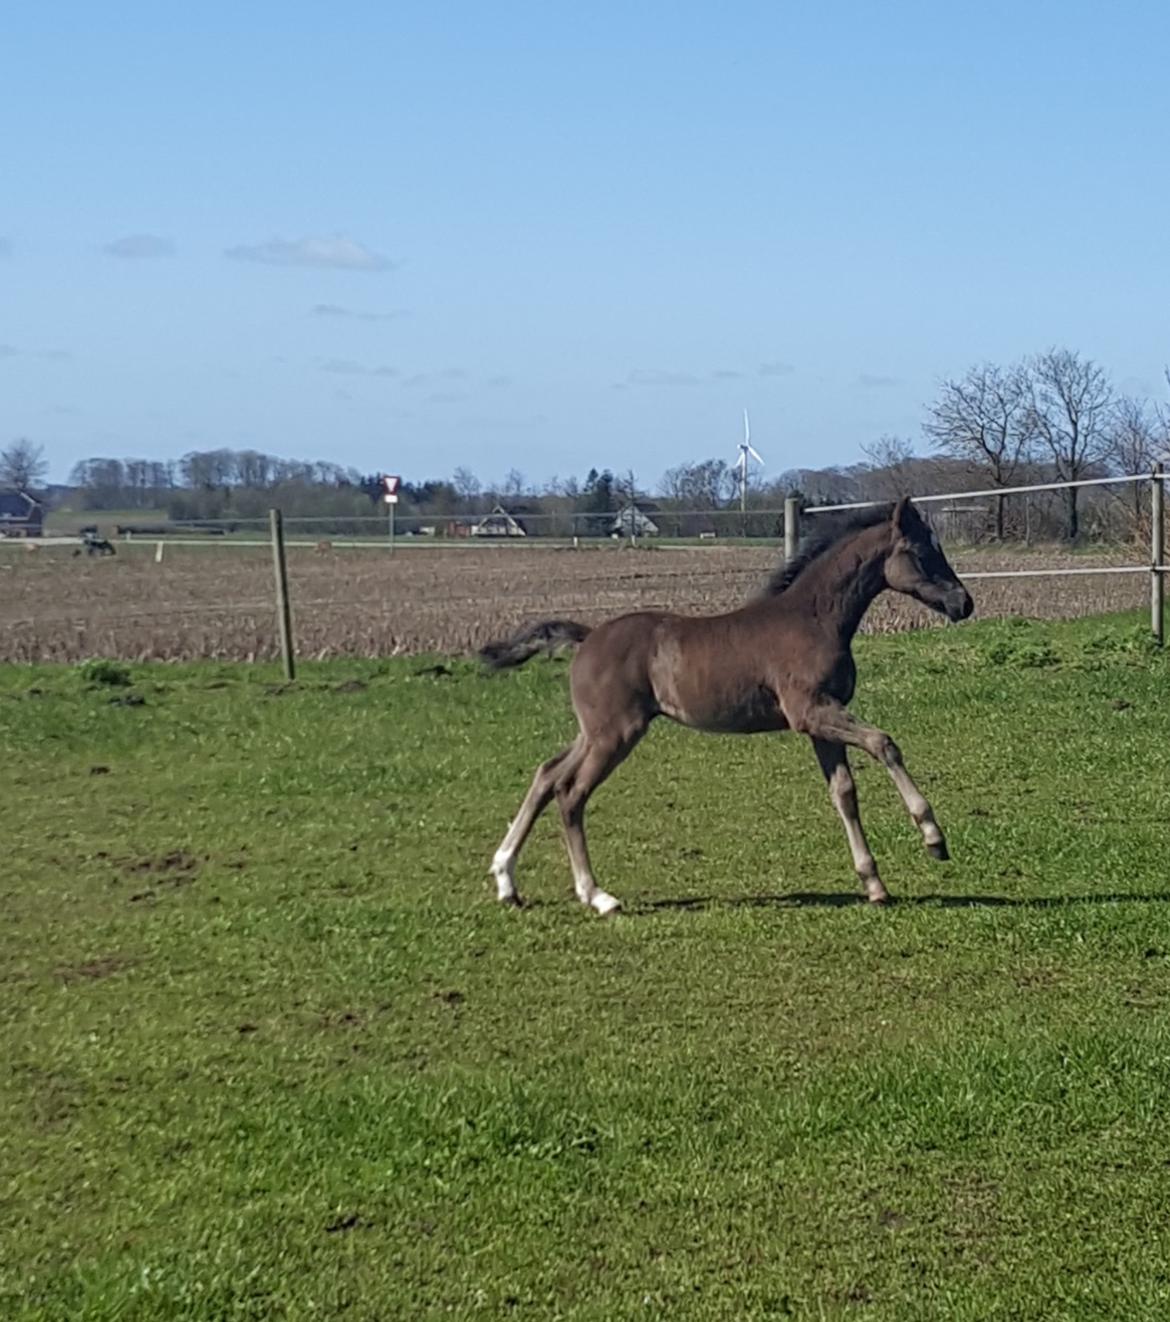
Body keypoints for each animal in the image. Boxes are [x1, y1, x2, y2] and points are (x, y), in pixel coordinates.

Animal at [478, 499, 973, 914]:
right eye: (922, 553)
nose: (963, 603)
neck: (815, 618)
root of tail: (587, 637)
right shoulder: (812, 712)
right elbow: (884, 743)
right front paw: (934, 838)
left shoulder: (818, 723)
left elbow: (844, 793)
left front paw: (874, 884)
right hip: (616, 734)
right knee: (571, 793)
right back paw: (598, 895)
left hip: (595, 731)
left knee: (547, 775)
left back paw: (507, 881)